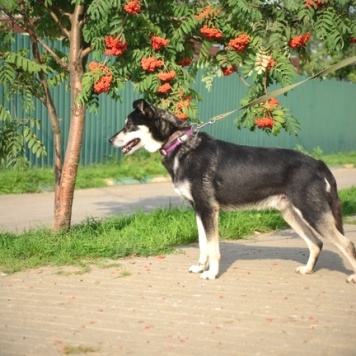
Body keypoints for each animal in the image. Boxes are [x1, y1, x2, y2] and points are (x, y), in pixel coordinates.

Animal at [110, 98, 356, 282]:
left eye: (129, 126)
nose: (111, 139)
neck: (179, 145)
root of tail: (318, 163)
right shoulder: (199, 210)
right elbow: (203, 246)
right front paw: (200, 267)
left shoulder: (209, 210)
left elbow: (213, 248)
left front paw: (211, 274)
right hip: (292, 214)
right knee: (317, 243)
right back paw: (307, 270)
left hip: (312, 212)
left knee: (346, 243)